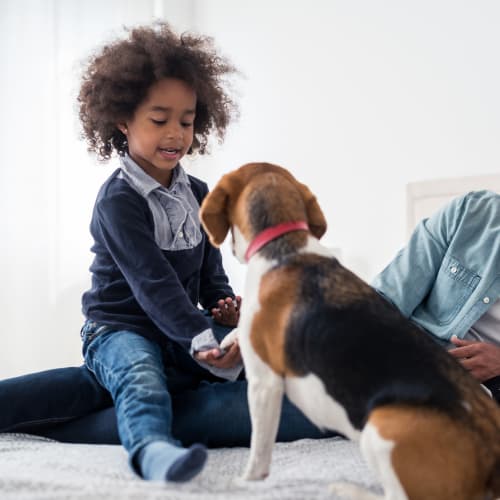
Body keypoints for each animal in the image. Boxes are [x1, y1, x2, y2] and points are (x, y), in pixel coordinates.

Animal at [200, 162, 500, 498]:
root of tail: (491, 455)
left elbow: (259, 449)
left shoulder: (264, 383)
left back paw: (348, 488)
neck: (284, 243)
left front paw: (244, 482)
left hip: (380, 427)